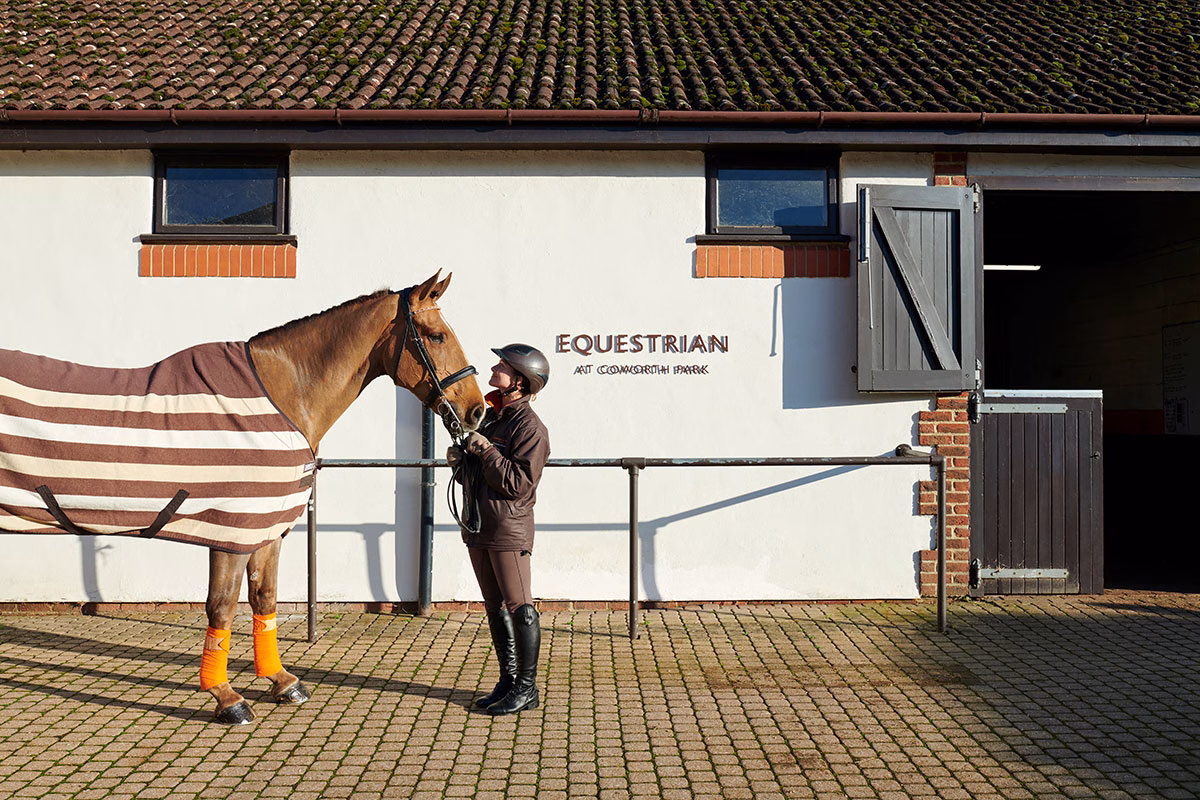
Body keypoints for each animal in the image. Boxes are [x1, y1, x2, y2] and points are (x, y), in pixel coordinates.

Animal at [0, 271, 485, 724]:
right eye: (437, 336)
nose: (477, 410)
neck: (281, 396)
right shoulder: (230, 529)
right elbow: (222, 607)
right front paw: (226, 698)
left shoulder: (265, 530)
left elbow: (264, 600)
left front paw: (282, 682)